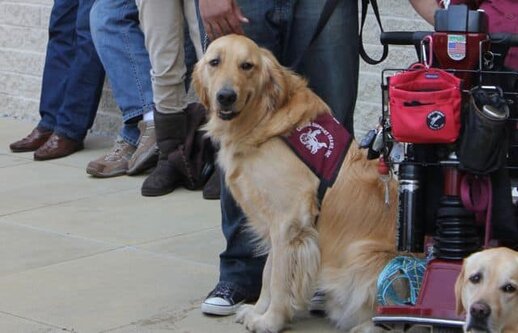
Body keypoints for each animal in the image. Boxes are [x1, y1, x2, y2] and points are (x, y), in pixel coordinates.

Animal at [193, 34, 400, 332]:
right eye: (214, 62)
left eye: (247, 66)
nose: (226, 96)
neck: (261, 119)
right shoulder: (274, 224)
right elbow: (268, 272)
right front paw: (258, 311)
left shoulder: (289, 221)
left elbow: (279, 278)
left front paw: (271, 320)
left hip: (363, 257)